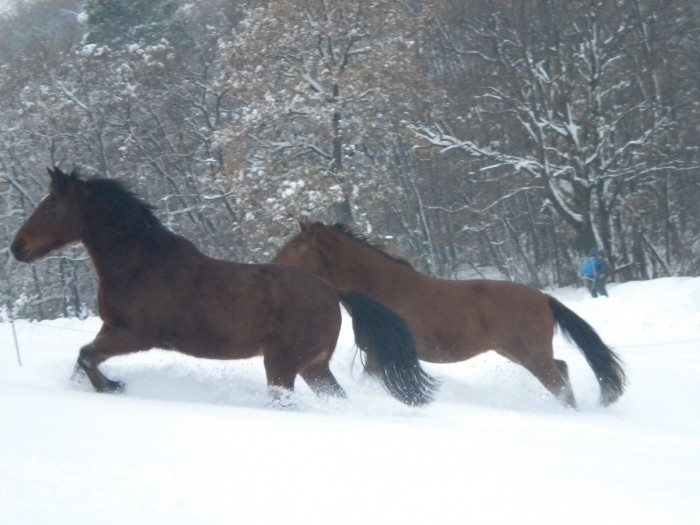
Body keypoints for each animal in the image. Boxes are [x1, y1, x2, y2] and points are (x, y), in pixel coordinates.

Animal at [12, 170, 438, 408]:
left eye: (51, 207)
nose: (18, 247)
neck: (142, 264)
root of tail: (335, 294)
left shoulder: (136, 335)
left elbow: (86, 357)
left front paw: (115, 387)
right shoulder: (111, 328)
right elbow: (81, 361)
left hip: (282, 366)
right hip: (313, 368)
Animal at [274, 219, 628, 408]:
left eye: (295, 245)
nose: (273, 266)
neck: (382, 289)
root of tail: (544, 298)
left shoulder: (380, 355)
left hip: (531, 356)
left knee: (558, 382)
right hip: (522, 354)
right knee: (563, 370)